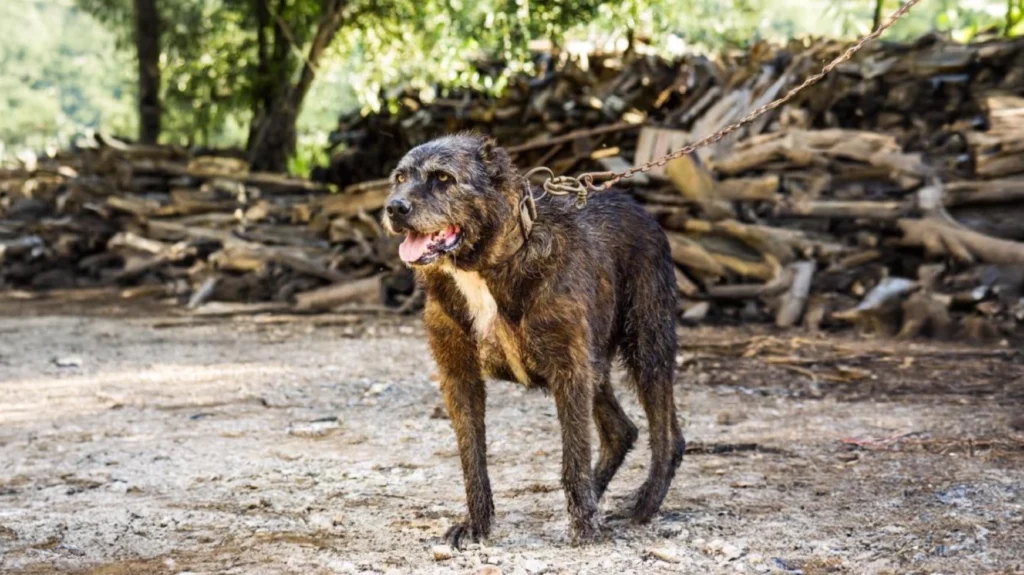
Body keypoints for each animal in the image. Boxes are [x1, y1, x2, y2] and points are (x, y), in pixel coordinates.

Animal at [380, 131, 684, 544]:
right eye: (399, 178)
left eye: (443, 178)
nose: (394, 208)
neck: (484, 266)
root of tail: (640, 209)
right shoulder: (459, 376)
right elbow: (472, 458)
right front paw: (477, 523)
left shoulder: (569, 370)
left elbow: (574, 456)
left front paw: (585, 528)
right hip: (596, 363)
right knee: (623, 431)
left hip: (646, 346)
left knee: (665, 435)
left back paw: (644, 504)